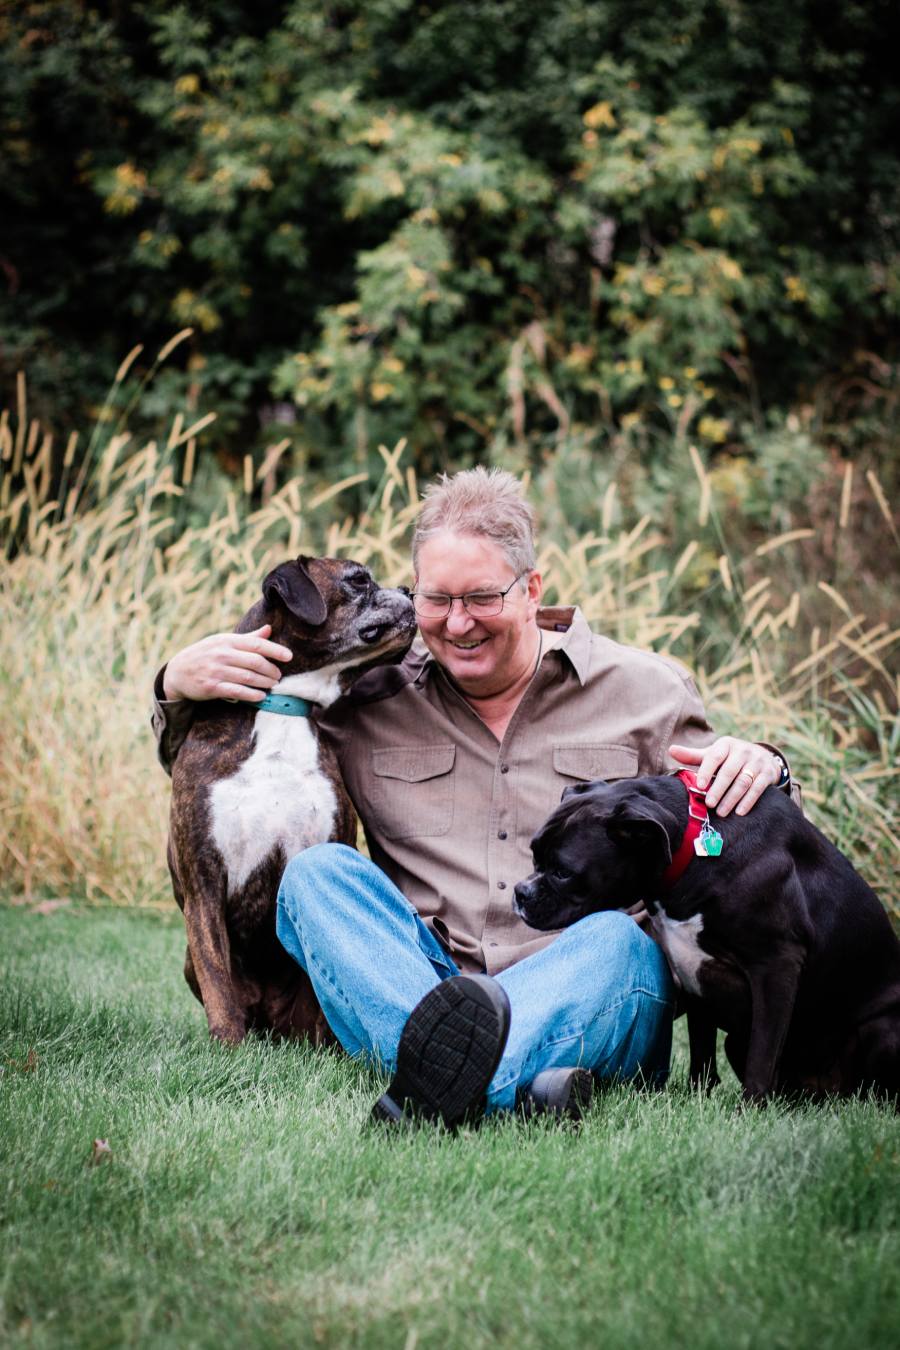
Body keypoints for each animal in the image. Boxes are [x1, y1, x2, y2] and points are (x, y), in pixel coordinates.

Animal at [512, 777, 900, 1101]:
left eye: (563, 872)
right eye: (534, 854)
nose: (520, 892)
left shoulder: (776, 965)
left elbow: (763, 1055)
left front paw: (749, 1110)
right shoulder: (696, 975)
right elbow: (702, 1052)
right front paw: (698, 1100)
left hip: (883, 1030)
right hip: (738, 1043)